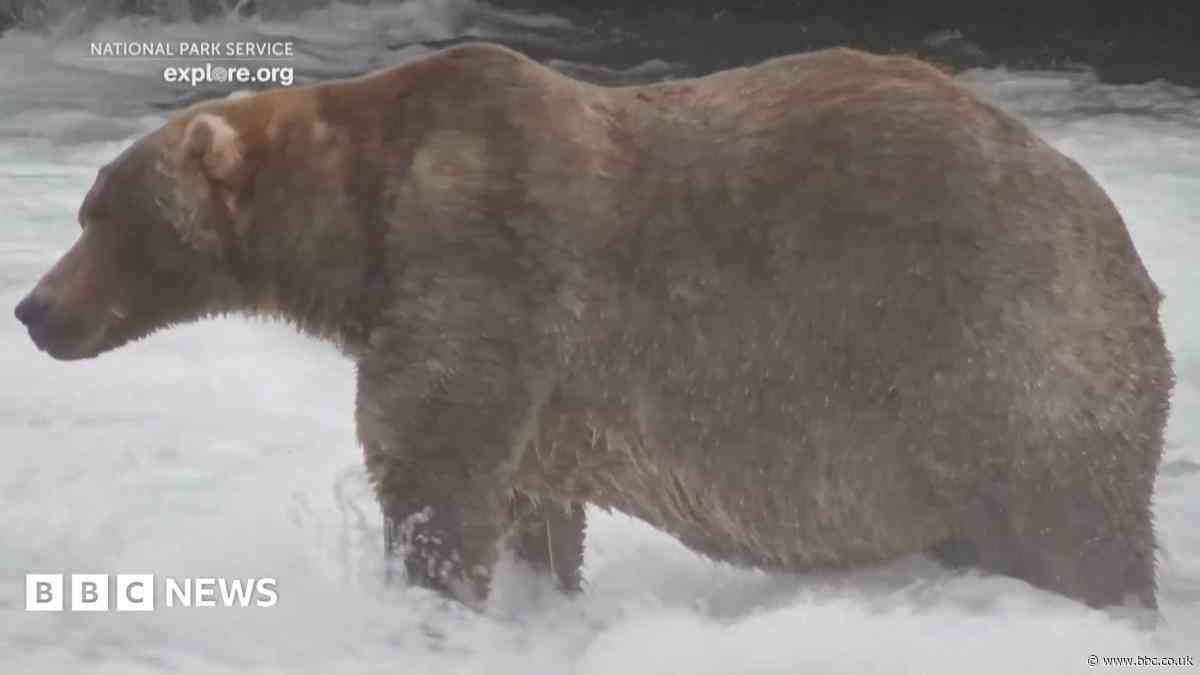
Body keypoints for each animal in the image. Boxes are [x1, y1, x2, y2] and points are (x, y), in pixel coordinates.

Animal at [14, 42, 1172, 610]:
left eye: (101, 214)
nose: (32, 308)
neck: (355, 227)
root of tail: (1121, 238)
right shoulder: (534, 380)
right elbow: (530, 504)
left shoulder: (480, 268)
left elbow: (432, 472)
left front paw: (431, 597)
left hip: (998, 362)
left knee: (1076, 533)